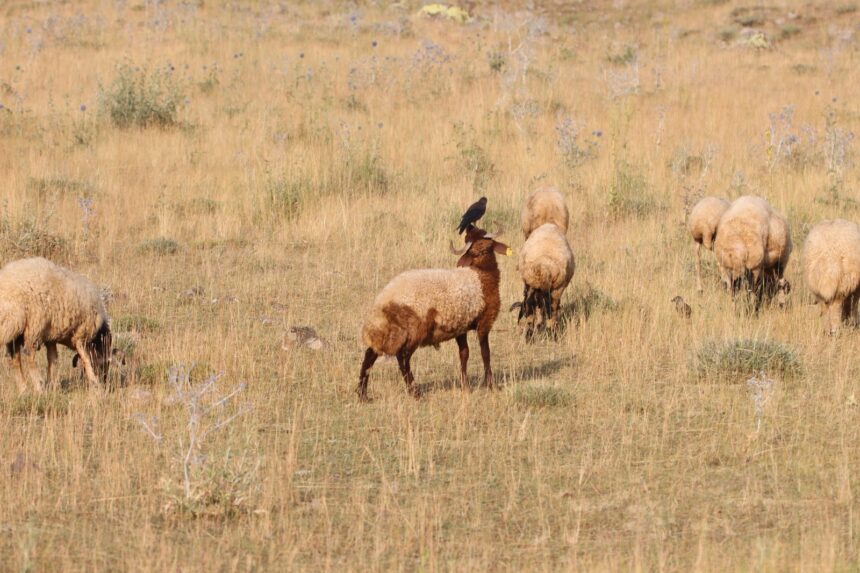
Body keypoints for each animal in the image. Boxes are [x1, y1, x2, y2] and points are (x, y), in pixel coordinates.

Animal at [0, 256, 111, 392]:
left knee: (15, 359)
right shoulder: (81, 334)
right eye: (104, 363)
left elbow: (52, 359)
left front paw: (52, 384)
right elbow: (85, 358)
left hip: (17, 332)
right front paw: (95, 384)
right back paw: (38, 386)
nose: (105, 381)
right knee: (29, 355)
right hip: (34, 325)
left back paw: (23, 389)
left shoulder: (51, 337)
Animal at [358, 226, 510, 400]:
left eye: (489, 247)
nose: (482, 253)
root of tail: (383, 301)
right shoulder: (485, 321)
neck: (480, 274)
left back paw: (362, 394)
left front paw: (465, 386)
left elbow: (464, 354)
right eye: (473, 251)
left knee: (370, 355)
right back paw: (414, 392)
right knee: (403, 358)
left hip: (389, 333)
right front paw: (491, 385)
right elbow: (486, 353)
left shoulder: (461, 326)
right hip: (414, 331)